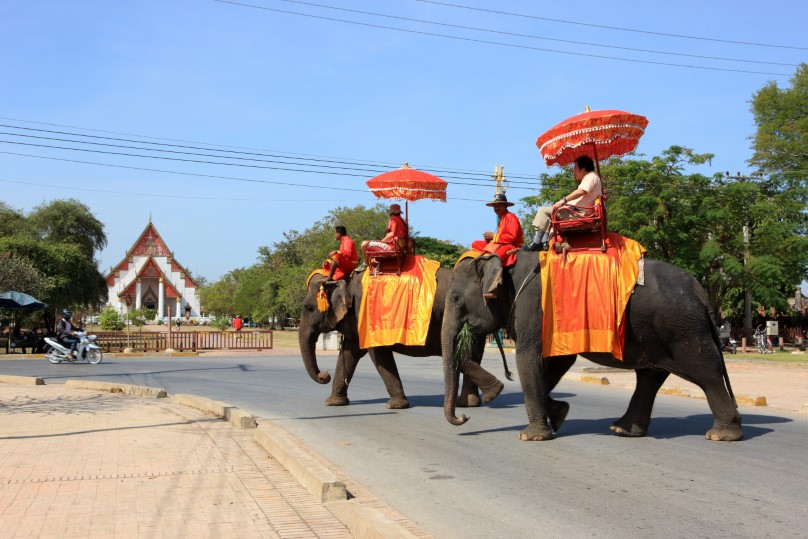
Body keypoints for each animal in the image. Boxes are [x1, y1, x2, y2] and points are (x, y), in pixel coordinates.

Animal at [304, 270, 504, 410]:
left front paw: (396, 405)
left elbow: (378, 353)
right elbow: (349, 353)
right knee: (472, 355)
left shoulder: (368, 315)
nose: (324, 375)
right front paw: (333, 403)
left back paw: (490, 394)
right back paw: (473, 402)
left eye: (308, 308)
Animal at [442, 253, 744, 442]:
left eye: (455, 298)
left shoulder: (533, 308)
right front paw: (559, 414)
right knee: (650, 376)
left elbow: (529, 360)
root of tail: (700, 290)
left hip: (683, 329)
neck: (506, 260)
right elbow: (556, 363)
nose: (464, 418)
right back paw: (623, 430)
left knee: (707, 373)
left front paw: (531, 436)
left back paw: (722, 435)